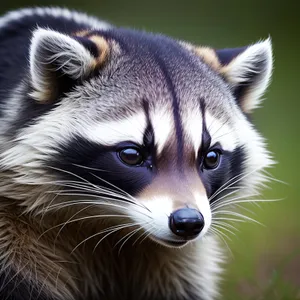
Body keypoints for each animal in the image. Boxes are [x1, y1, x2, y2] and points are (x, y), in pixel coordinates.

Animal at [0, 6, 274, 300]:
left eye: (211, 158)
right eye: (132, 155)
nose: (188, 222)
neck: (110, 221)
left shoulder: (180, 260)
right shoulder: (12, 228)